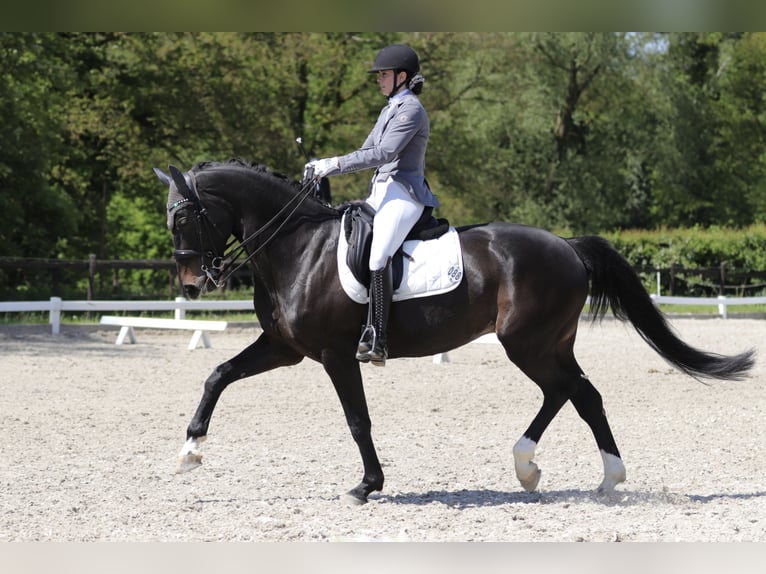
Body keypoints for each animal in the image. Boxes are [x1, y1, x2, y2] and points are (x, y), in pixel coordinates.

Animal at [154, 160, 756, 506]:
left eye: (183, 218)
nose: (191, 283)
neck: (297, 247)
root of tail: (566, 244)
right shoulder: (285, 349)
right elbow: (218, 375)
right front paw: (188, 452)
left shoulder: (335, 354)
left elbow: (357, 420)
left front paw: (367, 486)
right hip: (547, 343)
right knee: (580, 394)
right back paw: (586, 477)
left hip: (528, 342)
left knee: (569, 391)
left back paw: (549, 469)